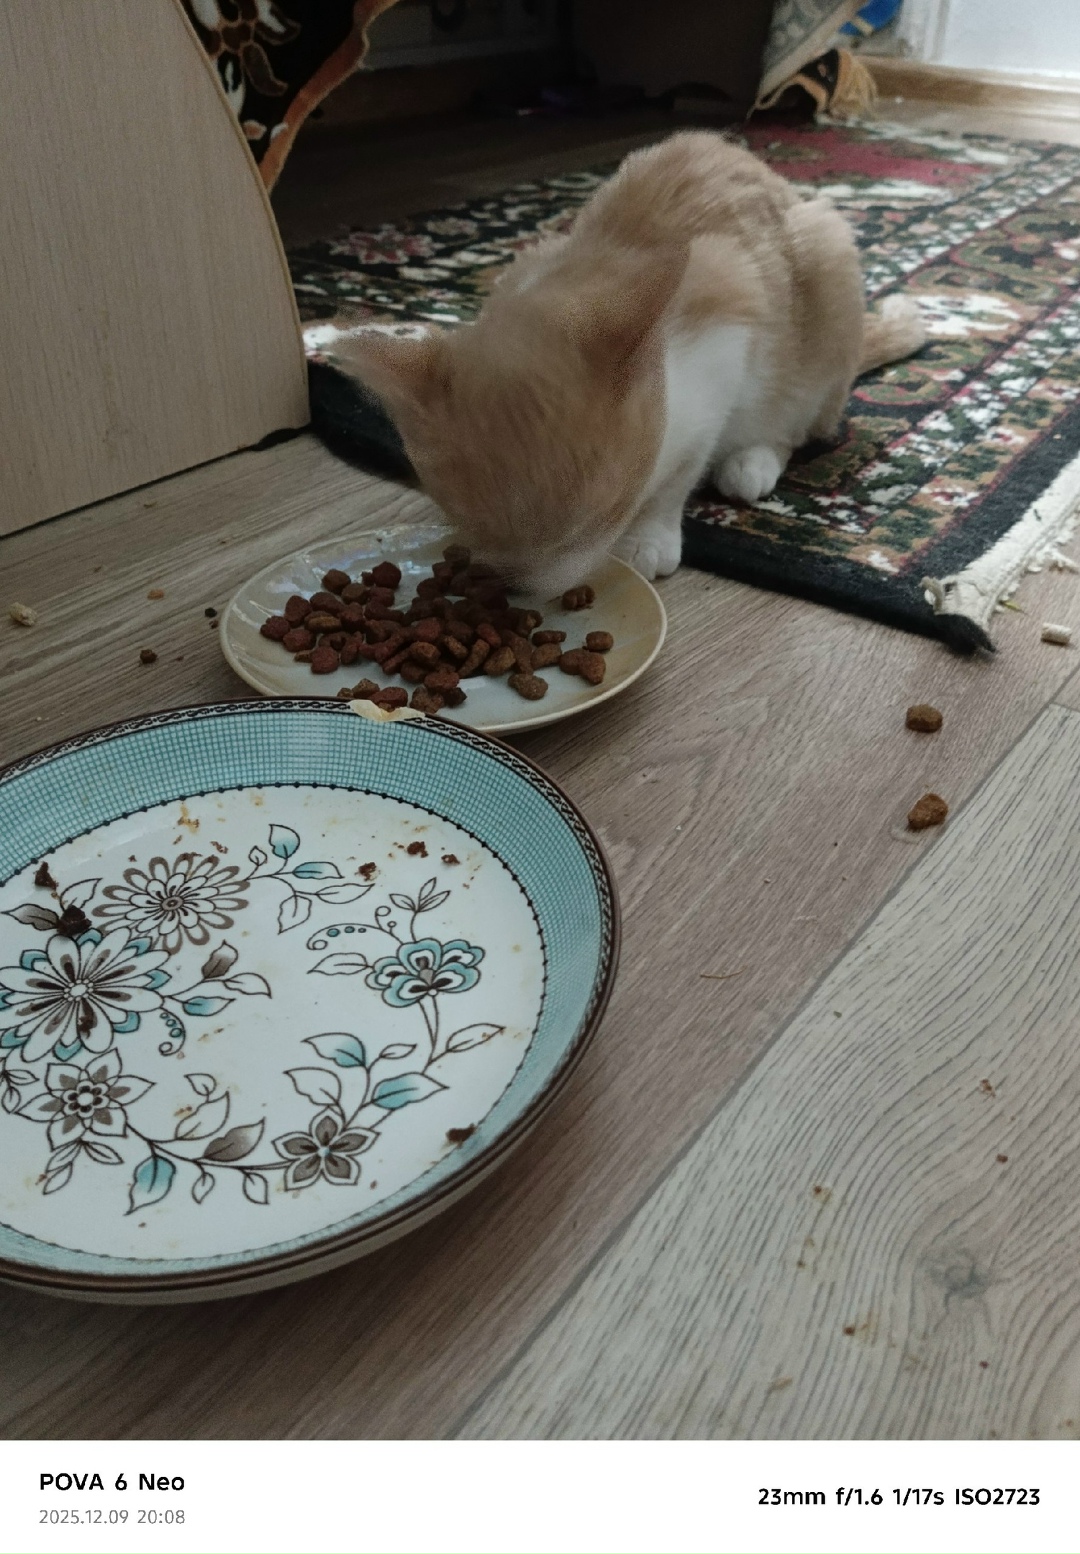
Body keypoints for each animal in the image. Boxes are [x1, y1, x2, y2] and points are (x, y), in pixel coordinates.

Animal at [335, 130, 925, 595]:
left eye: (596, 524)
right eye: (469, 524)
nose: (530, 590)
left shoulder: (725, 348)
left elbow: (677, 476)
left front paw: (649, 534)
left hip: (827, 278)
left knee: (795, 424)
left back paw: (752, 462)